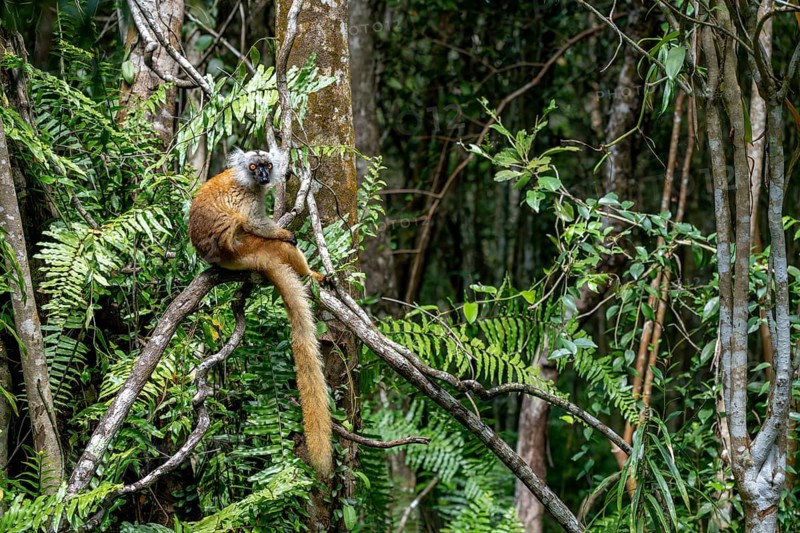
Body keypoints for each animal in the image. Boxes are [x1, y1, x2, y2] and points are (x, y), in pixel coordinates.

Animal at [188, 148, 332, 476]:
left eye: (266, 165)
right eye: (255, 167)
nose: (265, 176)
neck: (247, 181)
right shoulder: (249, 199)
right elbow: (255, 223)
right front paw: (283, 230)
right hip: (248, 251)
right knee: (281, 247)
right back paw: (310, 274)